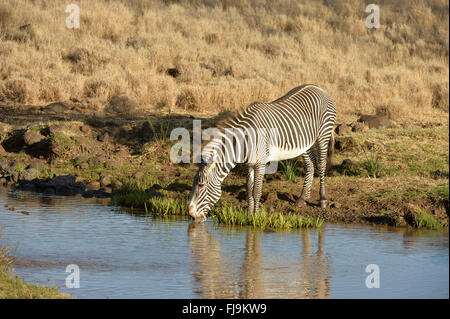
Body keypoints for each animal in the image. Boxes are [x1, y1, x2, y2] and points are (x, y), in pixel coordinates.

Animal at [188, 86, 336, 224]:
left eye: (201, 185)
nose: (191, 216)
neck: (245, 141)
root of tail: (319, 88)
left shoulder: (261, 163)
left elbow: (257, 191)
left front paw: (256, 216)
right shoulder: (249, 164)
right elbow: (249, 189)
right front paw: (248, 214)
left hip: (323, 134)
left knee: (321, 165)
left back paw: (322, 200)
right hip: (305, 143)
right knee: (310, 164)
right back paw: (302, 199)